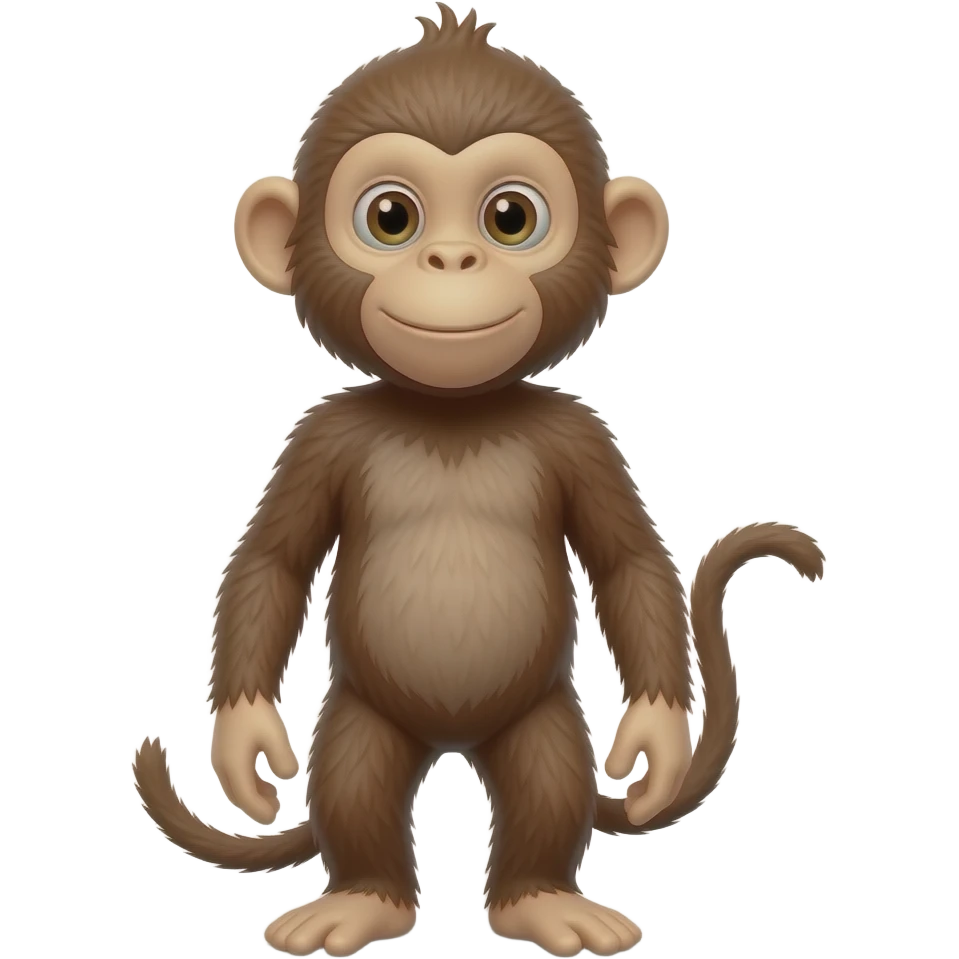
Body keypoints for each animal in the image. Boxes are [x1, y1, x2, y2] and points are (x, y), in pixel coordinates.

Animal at [131, 5, 828, 957]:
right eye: (391, 216)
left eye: (510, 217)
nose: (453, 260)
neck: (451, 410)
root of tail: (452, 739)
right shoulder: (319, 435)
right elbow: (271, 561)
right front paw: (246, 745)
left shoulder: (583, 436)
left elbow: (627, 565)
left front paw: (654, 740)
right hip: (363, 713)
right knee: (355, 777)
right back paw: (362, 900)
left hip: (540, 713)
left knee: (547, 778)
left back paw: (544, 901)